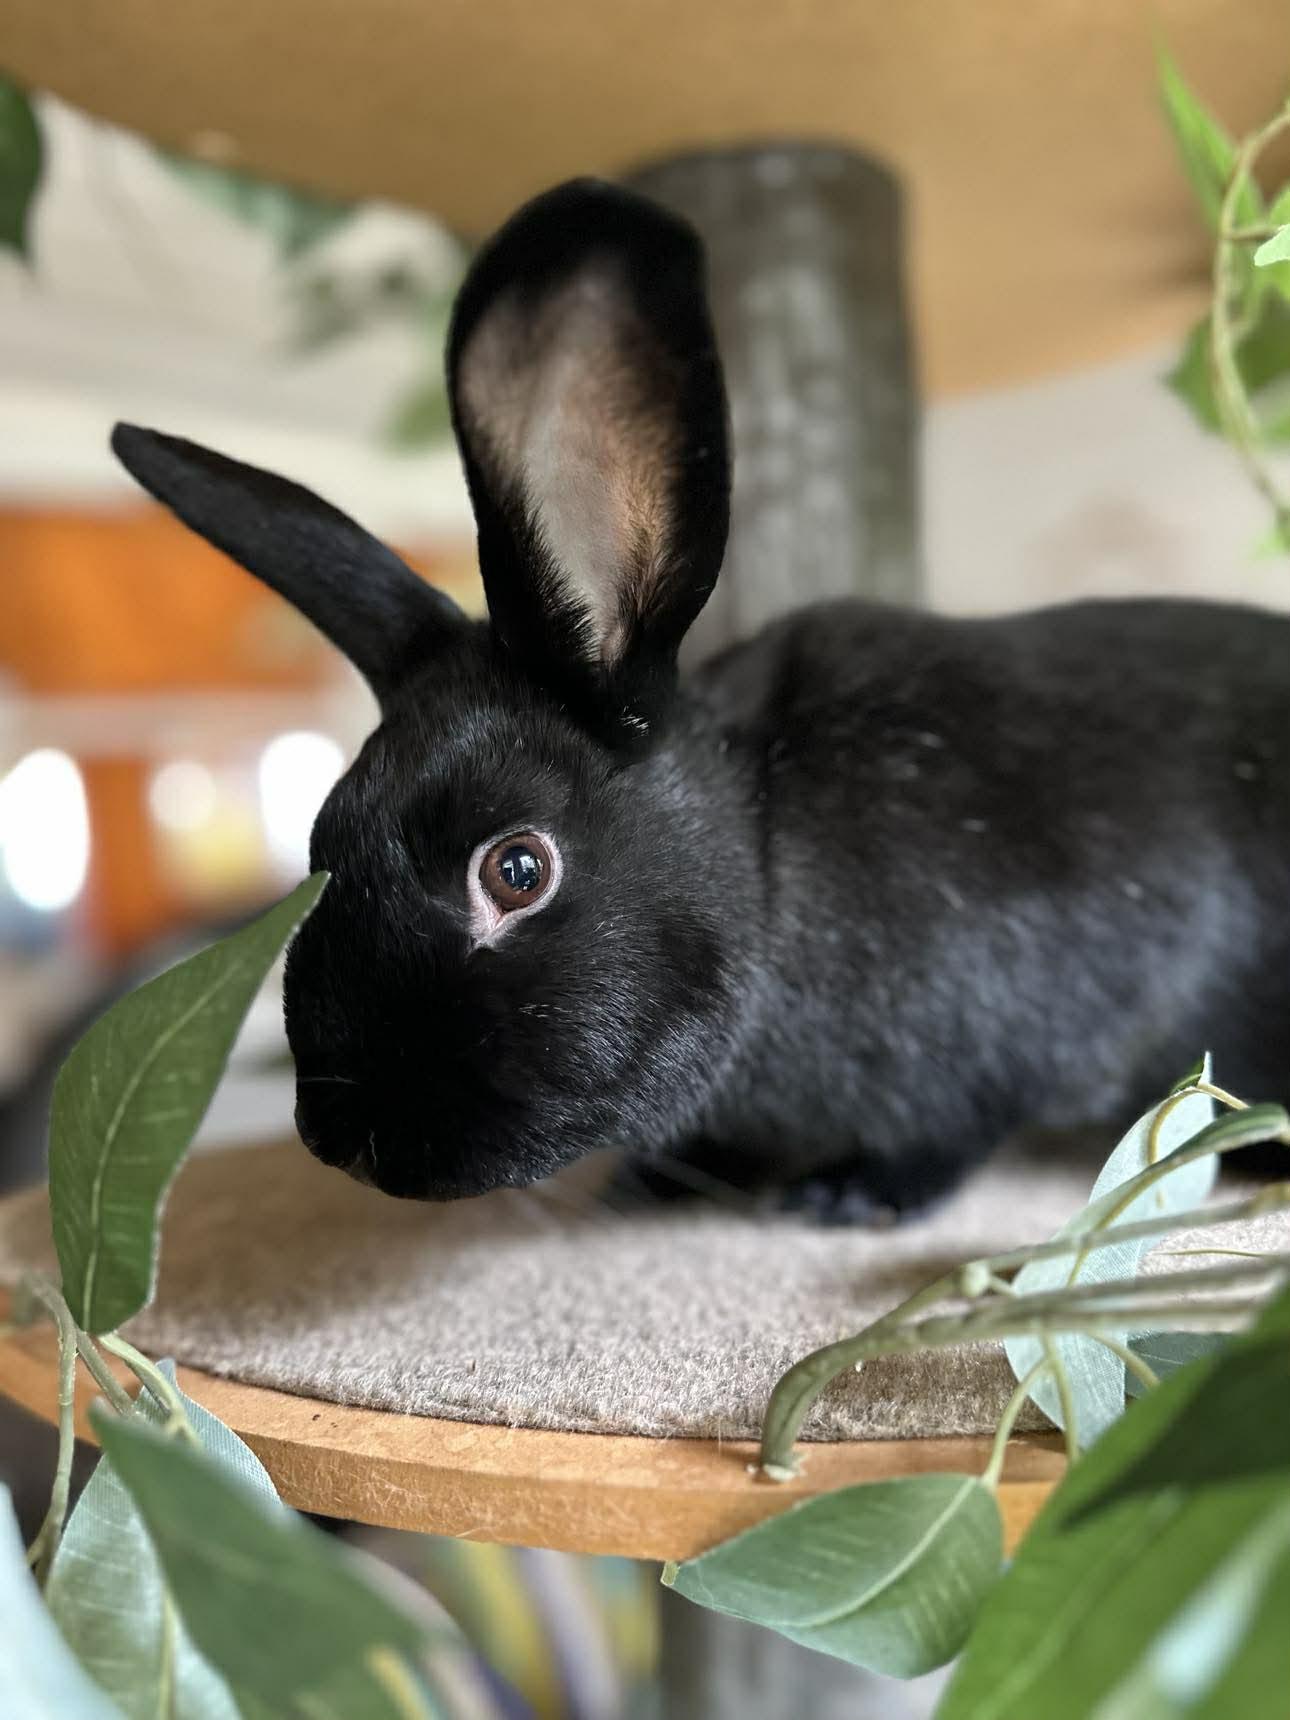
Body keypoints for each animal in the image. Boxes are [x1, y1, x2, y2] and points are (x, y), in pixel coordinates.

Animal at [110, 178, 1290, 1221]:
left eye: (517, 869)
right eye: (321, 842)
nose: (344, 1139)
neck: (766, 866)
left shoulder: (1004, 1019)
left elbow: (947, 1134)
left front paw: (848, 1197)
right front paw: (659, 1182)